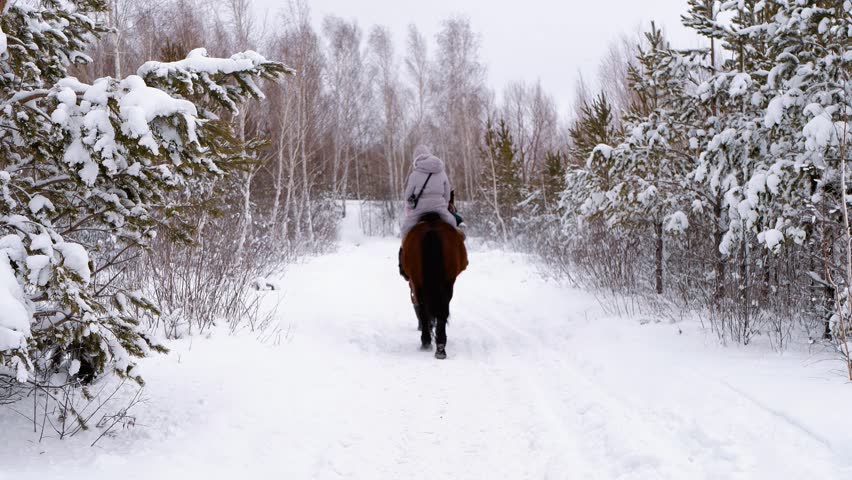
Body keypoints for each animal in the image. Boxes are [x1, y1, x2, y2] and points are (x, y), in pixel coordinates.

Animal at [400, 212, 468, 359]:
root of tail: (431, 229)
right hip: (445, 283)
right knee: (438, 309)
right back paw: (438, 346)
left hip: (421, 282)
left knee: (426, 308)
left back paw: (429, 342)